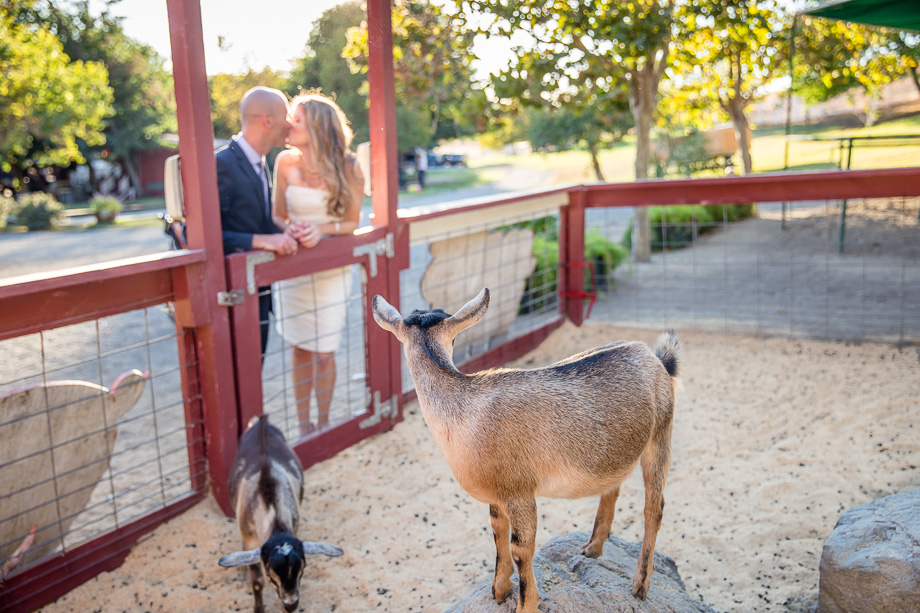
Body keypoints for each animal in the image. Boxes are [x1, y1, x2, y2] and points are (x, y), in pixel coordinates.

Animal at [218, 416, 343, 613]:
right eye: (270, 575)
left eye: (302, 571)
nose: (291, 605)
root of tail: (261, 421)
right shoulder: (249, 539)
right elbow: (257, 581)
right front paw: (258, 609)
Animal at [372, 288, 681, 613]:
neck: (465, 414)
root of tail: (657, 359)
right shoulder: (498, 494)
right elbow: (497, 532)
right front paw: (498, 590)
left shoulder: (520, 491)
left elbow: (521, 547)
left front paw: (524, 602)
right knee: (613, 487)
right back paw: (592, 549)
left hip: (662, 435)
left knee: (654, 508)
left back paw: (640, 586)